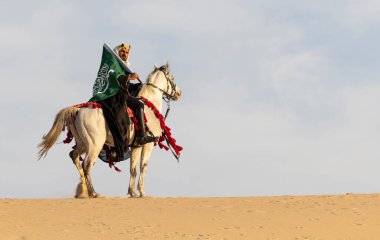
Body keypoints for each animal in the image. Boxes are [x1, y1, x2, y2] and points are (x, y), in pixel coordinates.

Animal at [37, 62, 182, 198]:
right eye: (172, 78)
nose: (179, 93)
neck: (149, 104)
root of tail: (77, 110)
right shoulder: (148, 144)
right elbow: (143, 166)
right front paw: (142, 193)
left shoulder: (136, 146)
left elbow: (133, 169)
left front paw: (132, 193)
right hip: (95, 144)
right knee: (87, 165)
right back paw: (93, 193)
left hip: (83, 143)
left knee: (74, 156)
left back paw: (84, 187)